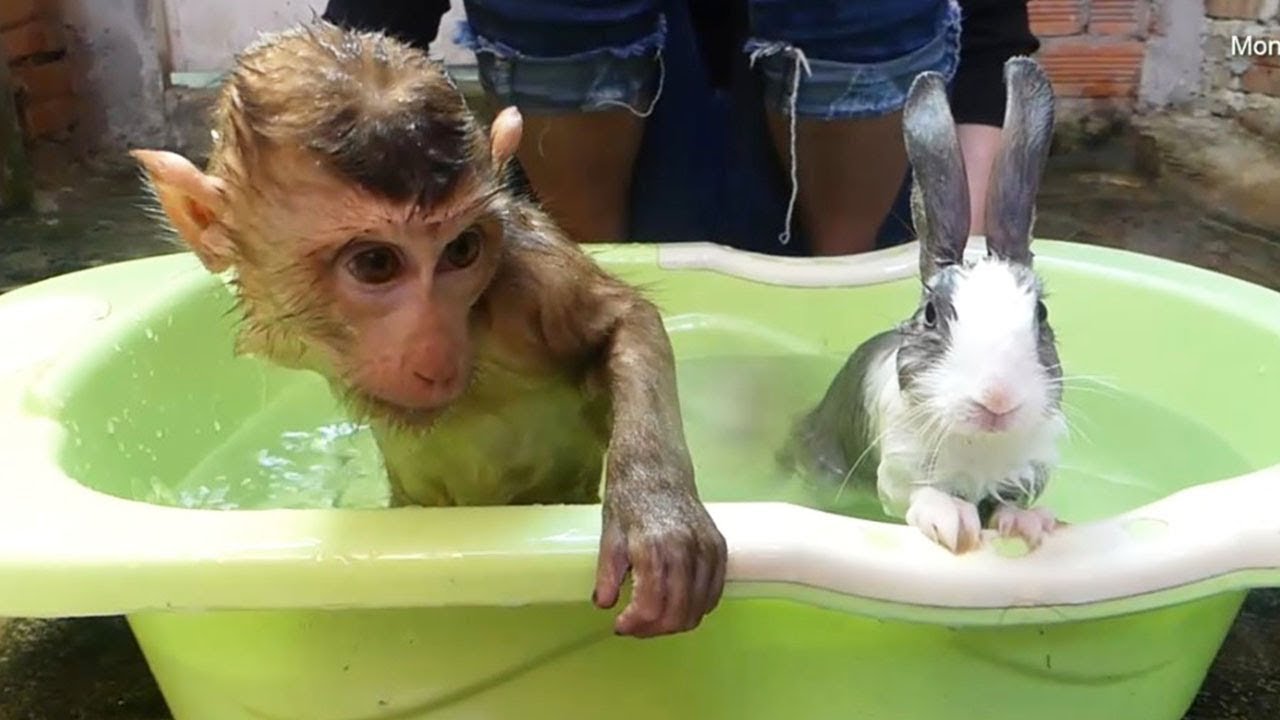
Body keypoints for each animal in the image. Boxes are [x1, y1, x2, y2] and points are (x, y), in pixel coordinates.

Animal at [129, 21, 727, 638]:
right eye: (376, 264)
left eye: (461, 250)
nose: (436, 352)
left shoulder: (530, 282)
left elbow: (626, 322)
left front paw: (657, 513)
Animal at [781, 57, 1067, 554]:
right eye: (932, 314)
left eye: (1042, 315)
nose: (997, 399)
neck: (980, 443)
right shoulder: (899, 467)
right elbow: (918, 495)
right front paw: (953, 521)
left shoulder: (1027, 469)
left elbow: (1011, 502)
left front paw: (1030, 525)